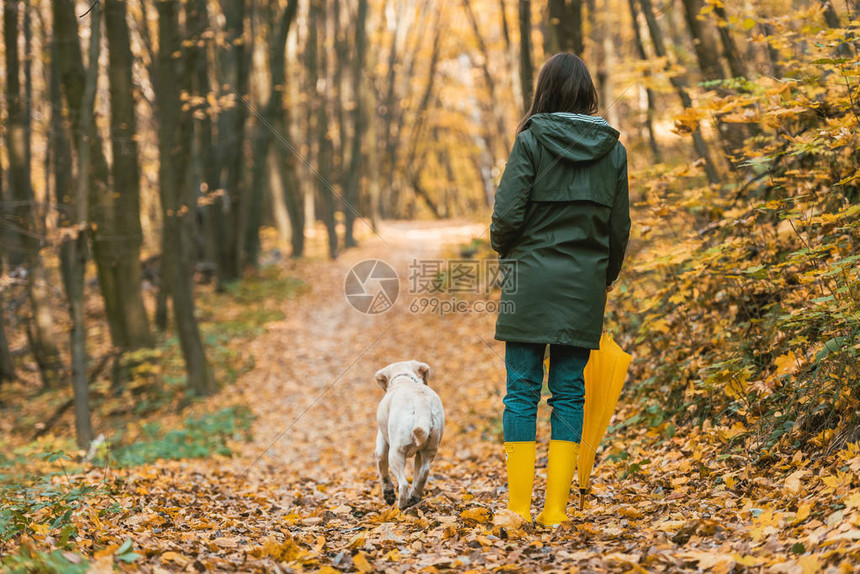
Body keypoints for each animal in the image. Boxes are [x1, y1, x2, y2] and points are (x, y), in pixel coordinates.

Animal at [374, 362, 446, 510]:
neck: (404, 379)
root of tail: (421, 401)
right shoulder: (419, 454)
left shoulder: (382, 442)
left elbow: (382, 467)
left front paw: (388, 494)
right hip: (429, 450)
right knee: (423, 473)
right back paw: (414, 497)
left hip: (395, 453)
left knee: (403, 485)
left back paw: (401, 506)